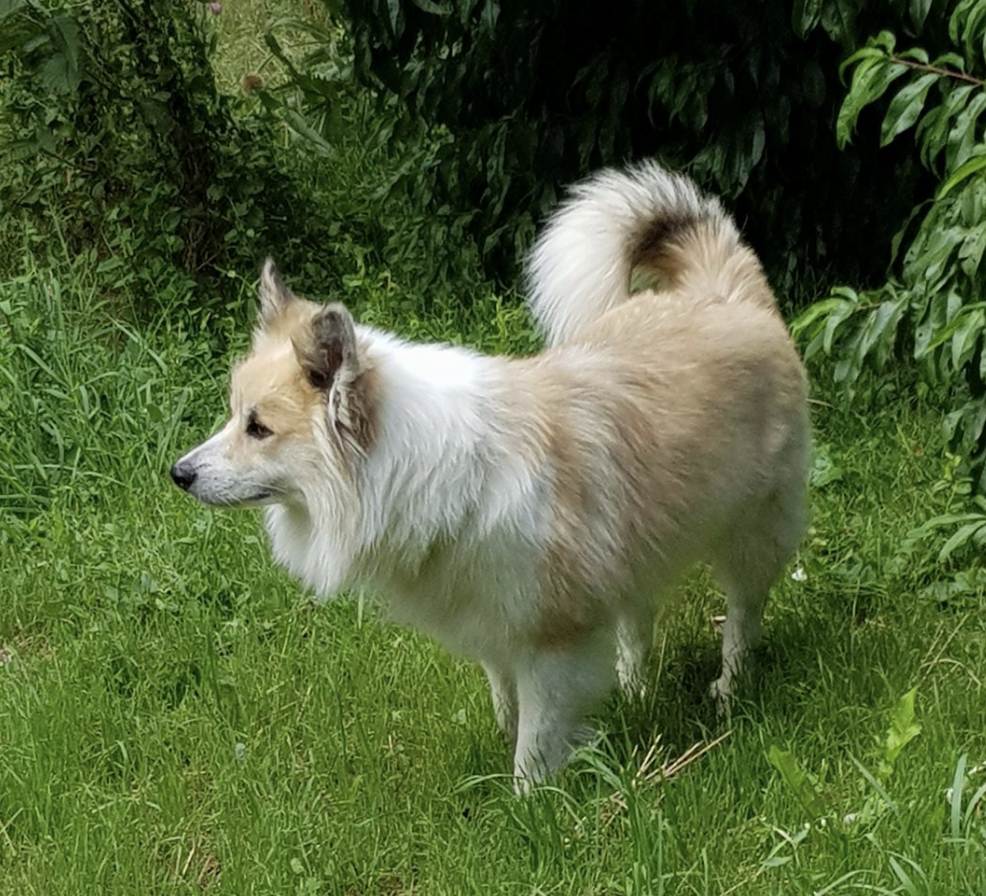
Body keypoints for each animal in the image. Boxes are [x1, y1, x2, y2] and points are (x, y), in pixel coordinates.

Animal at [171, 163, 808, 792]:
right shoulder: (492, 624)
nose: (179, 473)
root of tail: (722, 287)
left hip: (753, 533)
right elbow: (506, 699)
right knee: (637, 622)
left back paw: (729, 688)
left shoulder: (550, 643)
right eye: (233, 414)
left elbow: (536, 736)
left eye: (258, 428)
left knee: (742, 614)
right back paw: (634, 691)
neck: (422, 470)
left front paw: (530, 801)